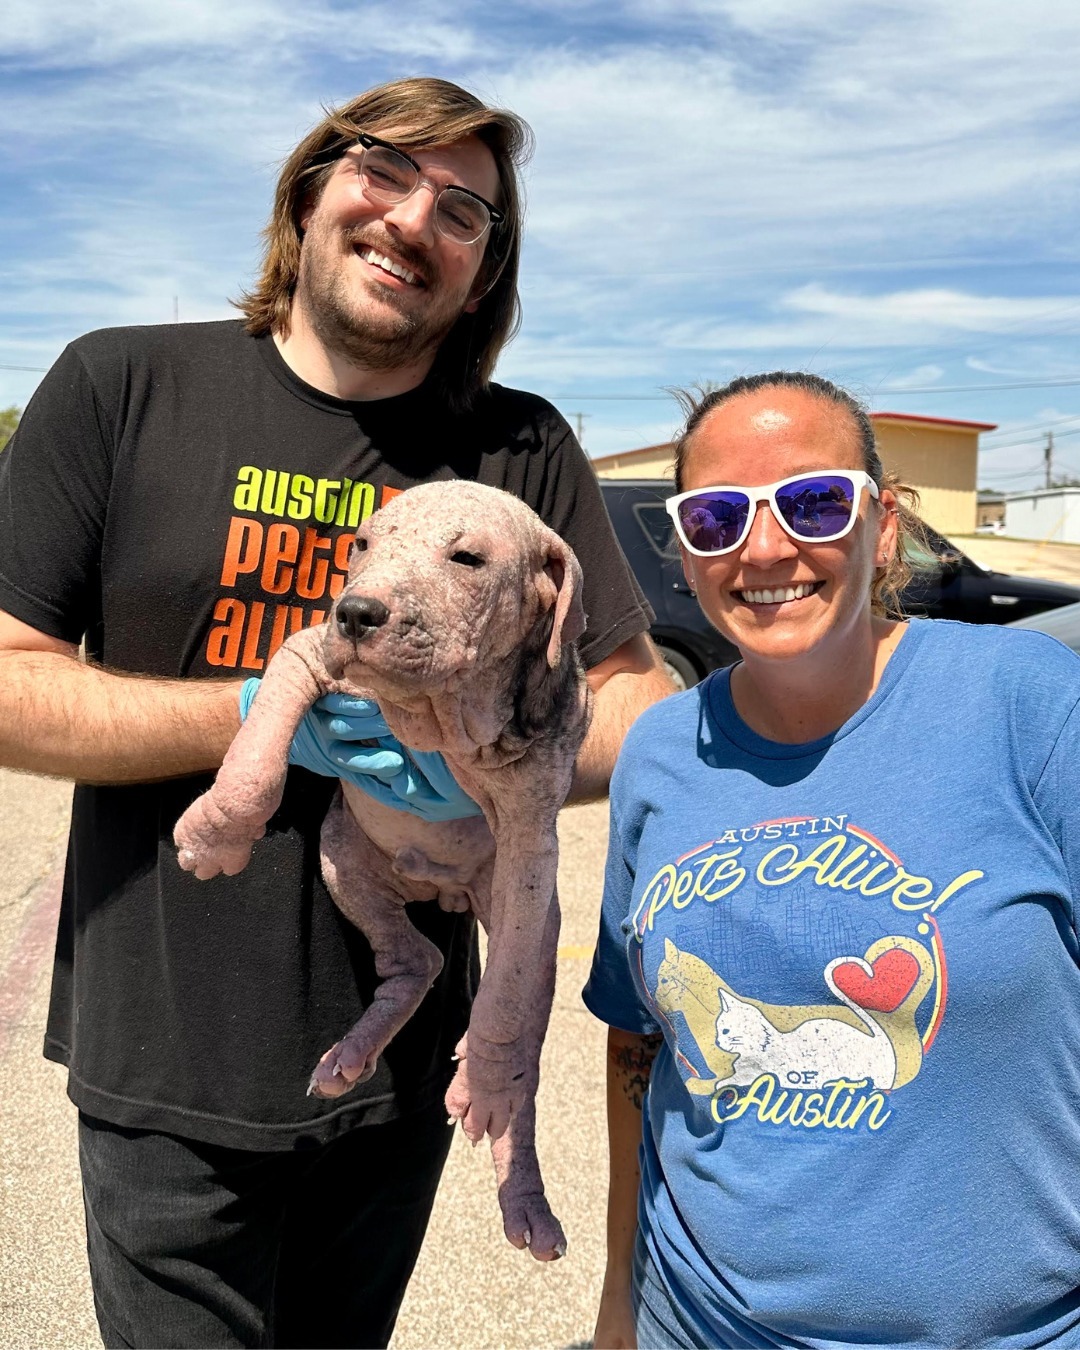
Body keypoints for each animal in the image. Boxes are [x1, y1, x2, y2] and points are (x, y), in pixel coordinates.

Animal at [172, 480, 591, 1258]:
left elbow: (503, 996)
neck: (437, 714)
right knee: (415, 961)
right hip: (344, 857)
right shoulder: (305, 654)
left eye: (467, 558)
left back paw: (522, 1186)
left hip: (533, 927)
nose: (357, 611)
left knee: (521, 1054)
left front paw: (485, 1077)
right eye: (361, 545)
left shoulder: (532, 839)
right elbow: (258, 750)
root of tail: (442, 889)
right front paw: (216, 833)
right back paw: (349, 1054)